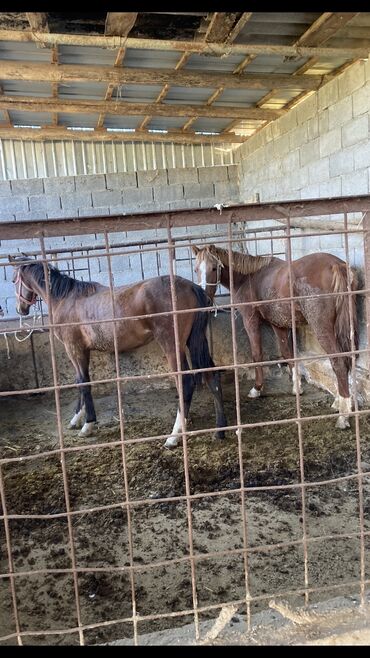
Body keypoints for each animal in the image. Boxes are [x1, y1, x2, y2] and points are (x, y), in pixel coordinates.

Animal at [10, 255, 227, 446]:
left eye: (13, 280)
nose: (20, 309)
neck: (66, 299)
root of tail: (190, 286)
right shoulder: (82, 350)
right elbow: (81, 381)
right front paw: (76, 419)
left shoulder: (74, 348)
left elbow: (83, 382)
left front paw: (87, 424)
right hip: (195, 342)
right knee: (212, 375)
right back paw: (220, 430)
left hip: (172, 346)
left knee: (186, 383)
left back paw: (173, 437)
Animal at [192, 243, 356, 428]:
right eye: (196, 269)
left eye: (214, 268)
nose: (205, 301)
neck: (248, 278)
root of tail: (335, 265)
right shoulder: (278, 324)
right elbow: (287, 353)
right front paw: (297, 388)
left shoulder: (250, 320)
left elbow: (257, 354)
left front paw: (257, 389)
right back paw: (340, 402)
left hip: (322, 328)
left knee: (339, 362)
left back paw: (343, 415)